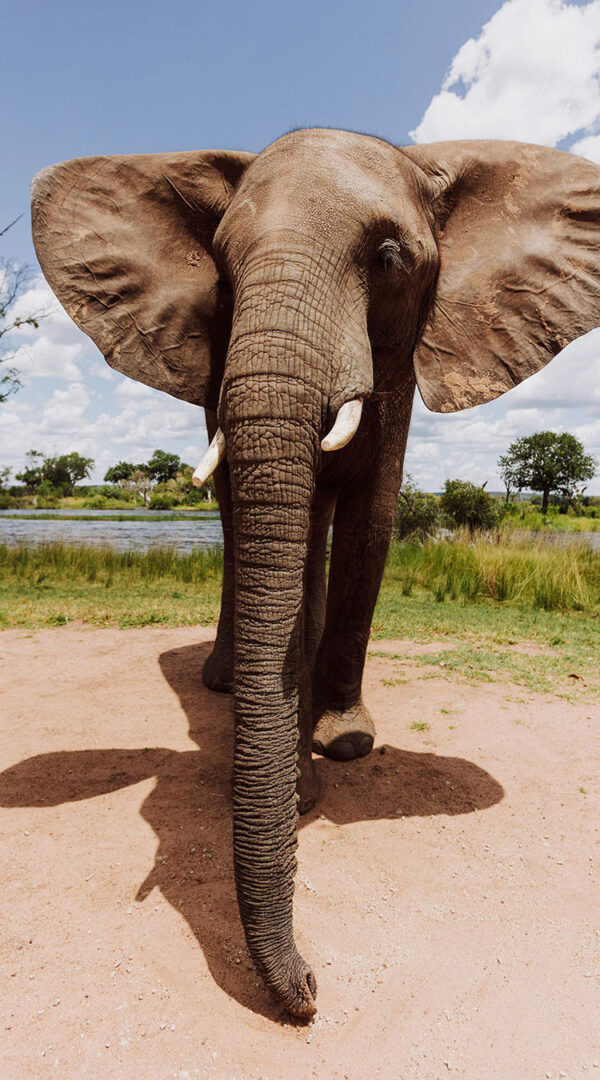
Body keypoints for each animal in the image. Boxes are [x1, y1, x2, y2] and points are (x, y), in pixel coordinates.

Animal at [31, 128, 600, 1018]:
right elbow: (280, 541)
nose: (309, 989)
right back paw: (222, 681)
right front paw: (301, 780)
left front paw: (348, 743)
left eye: (390, 258)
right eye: (220, 268)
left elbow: (372, 517)